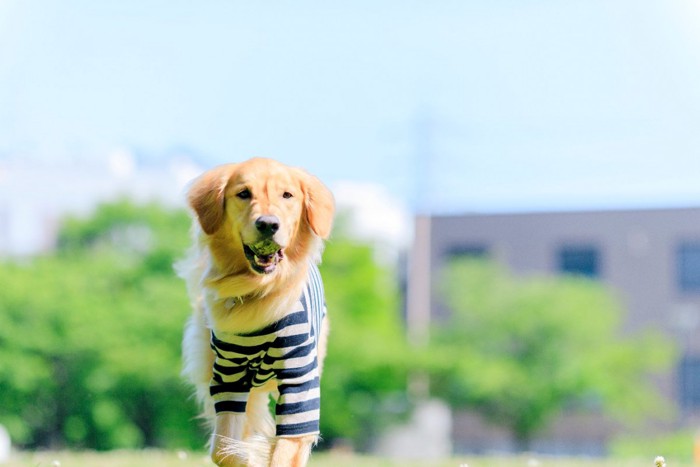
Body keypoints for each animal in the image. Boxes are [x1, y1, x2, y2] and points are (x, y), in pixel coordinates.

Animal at [179, 159, 334, 466]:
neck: (259, 290)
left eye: (287, 195)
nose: (268, 224)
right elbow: (224, 449)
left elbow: (288, 445)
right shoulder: (229, 375)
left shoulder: (300, 379)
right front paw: (251, 454)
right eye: (243, 194)